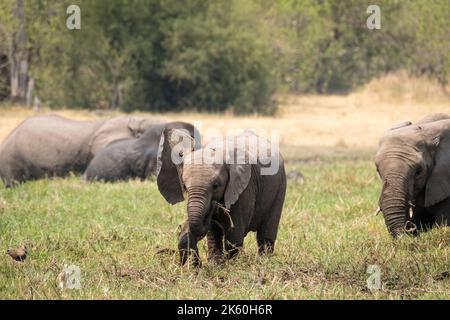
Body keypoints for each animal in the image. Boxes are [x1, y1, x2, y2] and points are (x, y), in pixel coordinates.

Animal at [156, 130, 286, 264]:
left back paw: (264, 260)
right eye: (185, 187)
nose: (213, 204)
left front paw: (233, 264)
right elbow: (212, 230)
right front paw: (216, 263)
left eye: (216, 185)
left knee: (267, 231)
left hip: (280, 185)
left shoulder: (245, 187)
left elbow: (234, 232)